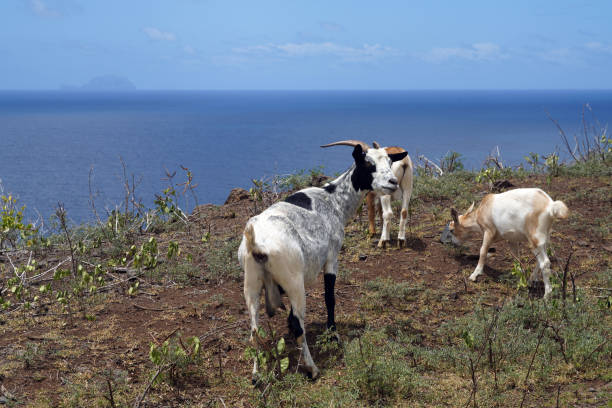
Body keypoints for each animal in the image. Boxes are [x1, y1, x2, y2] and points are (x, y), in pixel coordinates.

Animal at [238, 139, 406, 380]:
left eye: (390, 161)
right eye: (368, 163)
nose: (392, 182)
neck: (333, 200)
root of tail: (257, 245)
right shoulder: (332, 257)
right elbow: (329, 298)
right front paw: (333, 333)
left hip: (251, 282)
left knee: (254, 329)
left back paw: (256, 374)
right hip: (293, 281)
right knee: (297, 323)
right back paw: (312, 368)